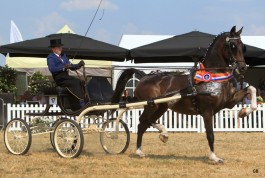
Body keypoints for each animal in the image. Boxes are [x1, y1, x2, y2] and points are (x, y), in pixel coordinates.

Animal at [111, 25, 256, 163]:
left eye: (243, 47)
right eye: (233, 46)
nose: (243, 68)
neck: (213, 75)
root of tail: (144, 77)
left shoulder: (229, 102)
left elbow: (252, 89)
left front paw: (243, 112)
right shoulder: (207, 110)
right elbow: (210, 134)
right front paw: (214, 157)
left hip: (161, 107)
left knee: (146, 122)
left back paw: (159, 138)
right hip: (151, 105)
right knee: (142, 122)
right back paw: (143, 148)